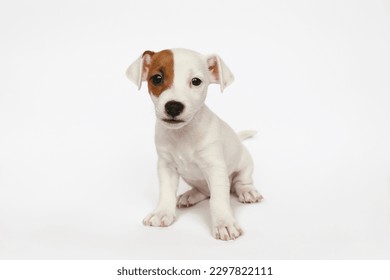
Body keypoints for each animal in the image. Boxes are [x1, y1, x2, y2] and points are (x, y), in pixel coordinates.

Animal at [126, 48, 264, 241]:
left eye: (196, 81)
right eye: (157, 78)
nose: (173, 106)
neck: (183, 134)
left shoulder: (215, 168)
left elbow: (218, 199)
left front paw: (224, 222)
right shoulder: (166, 166)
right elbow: (166, 192)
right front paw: (162, 212)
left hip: (245, 164)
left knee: (240, 182)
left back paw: (247, 191)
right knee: (204, 191)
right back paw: (190, 195)